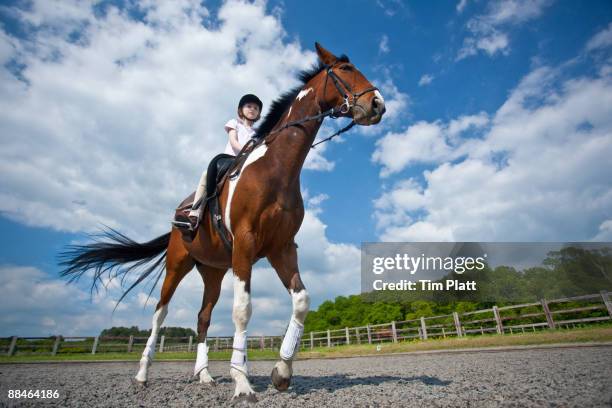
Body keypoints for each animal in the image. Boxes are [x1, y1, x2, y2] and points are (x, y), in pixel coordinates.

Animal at [59, 42, 384, 402]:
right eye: (345, 71)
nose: (378, 104)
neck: (274, 168)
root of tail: (178, 216)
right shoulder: (245, 243)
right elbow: (242, 310)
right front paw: (242, 383)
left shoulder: (281, 249)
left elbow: (301, 301)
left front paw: (281, 372)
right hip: (177, 265)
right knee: (160, 313)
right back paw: (142, 375)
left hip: (212, 272)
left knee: (203, 318)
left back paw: (204, 376)